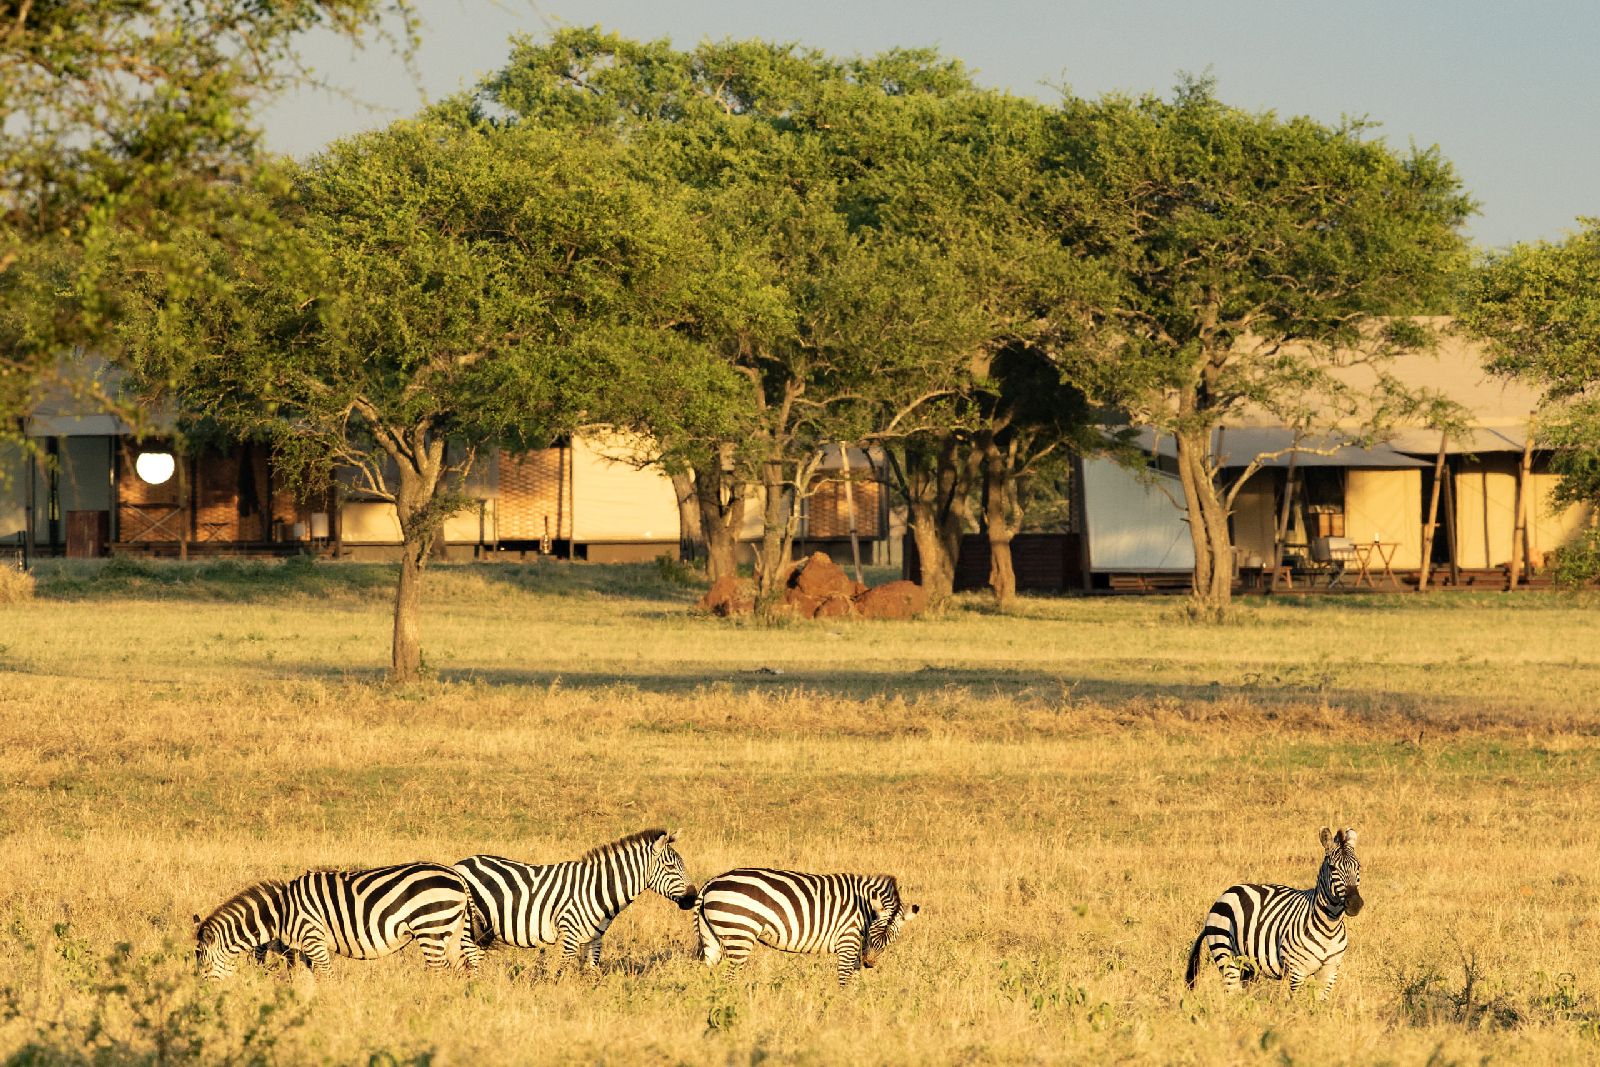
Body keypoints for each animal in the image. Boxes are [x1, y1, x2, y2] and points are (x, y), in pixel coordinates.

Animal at [193, 863, 479, 980]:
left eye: (203, 963)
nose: (202, 993)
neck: (281, 912)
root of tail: (456, 875)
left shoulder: (313, 938)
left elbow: (327, 977)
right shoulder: (302, 948)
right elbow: (308, 979)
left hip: (431, 927)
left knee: (439, 970)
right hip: (452, 929)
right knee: (463, 966)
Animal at [453, 828, 697, 970]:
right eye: (670, 866)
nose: (693, 898)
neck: (597, 888)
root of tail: (462, 863)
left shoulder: (595, 939)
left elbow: (592, 972)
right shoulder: (569, 934)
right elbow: (561, 973)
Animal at [695, 868, 919, 986]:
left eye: (889, 941)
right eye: (872, 934)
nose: (870, 964)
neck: (863, 909)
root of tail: (711, 883)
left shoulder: (856, 948)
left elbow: (854, 982)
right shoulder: (847, 942)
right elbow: (845, 980)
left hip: (713, 937)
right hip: (739, 933)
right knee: (730, 977)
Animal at [1184, 826, 1363, 999]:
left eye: (1358, 867)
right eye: (1332, 868)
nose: (1355, 904)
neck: (1329, 927)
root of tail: (1229, 891)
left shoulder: (1329, 972)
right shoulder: (1296, 972)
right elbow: (1296, 1004)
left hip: (1248, 966)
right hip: (1226, 955)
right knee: (1231, 993)